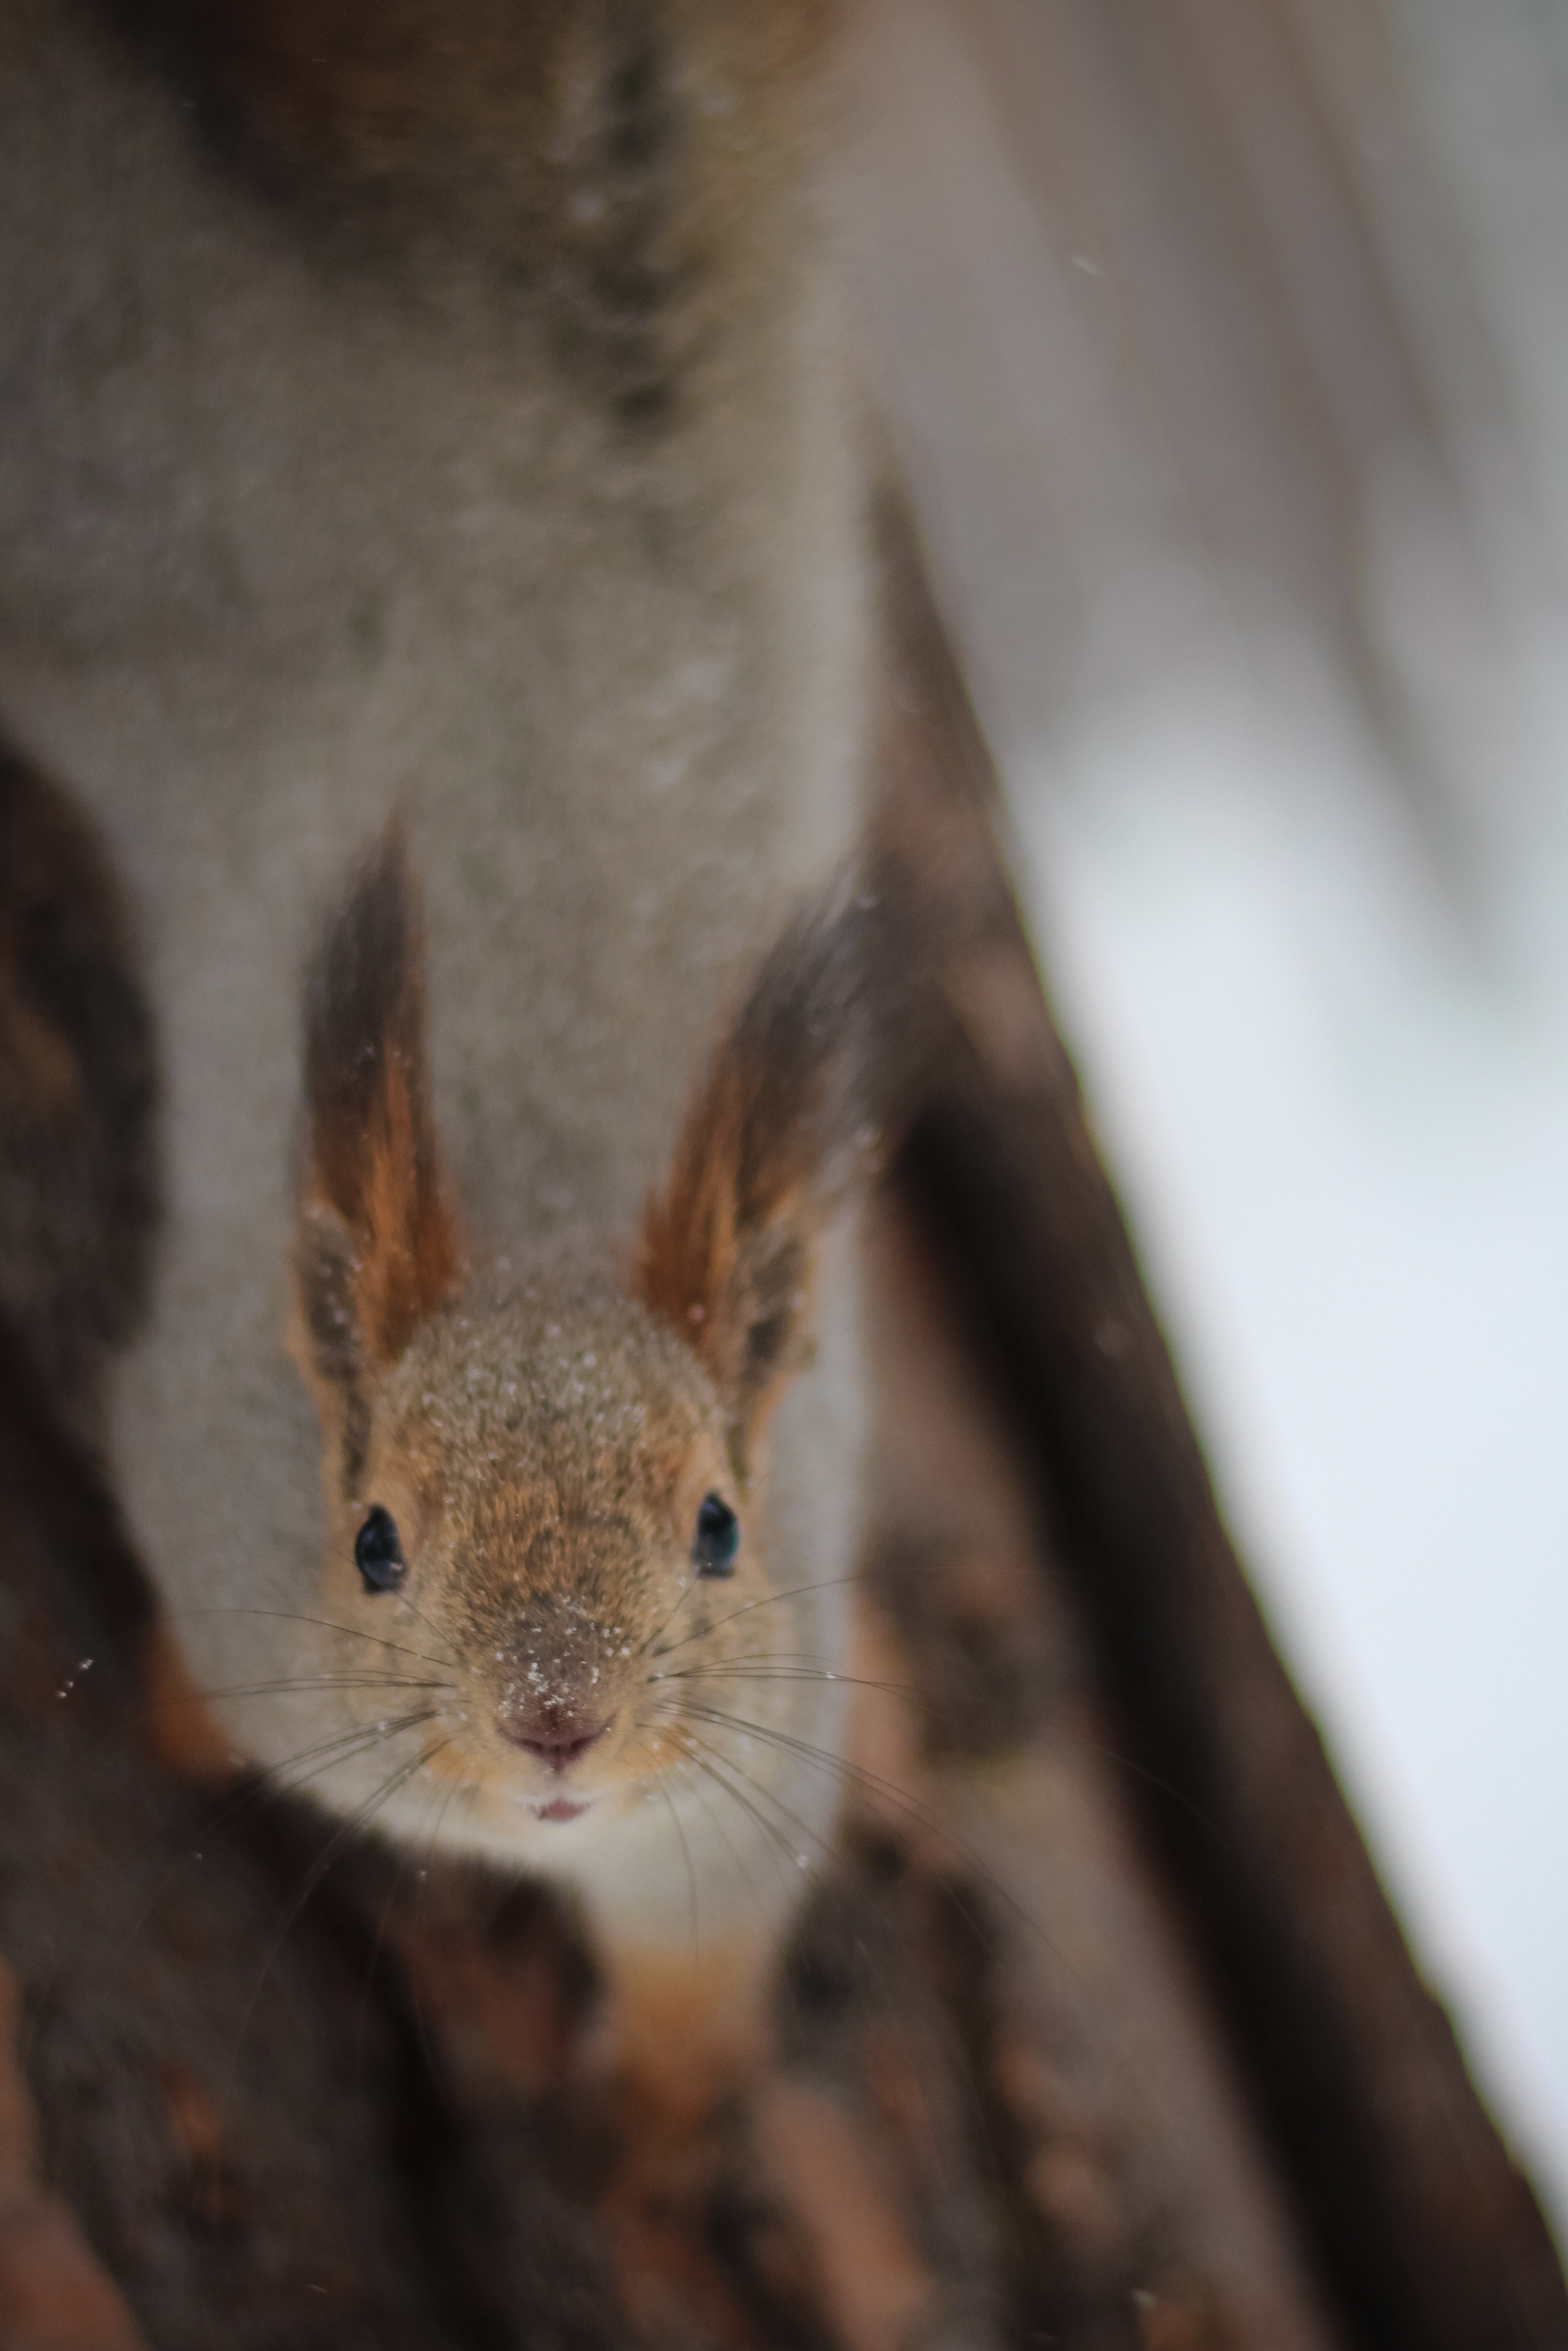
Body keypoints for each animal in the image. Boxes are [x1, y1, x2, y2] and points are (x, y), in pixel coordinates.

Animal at [0, 0, 883, 2096]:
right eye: (377, 1539)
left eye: (718, 1524)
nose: (556, 1717)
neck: (549, 1208)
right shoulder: (223, 1517)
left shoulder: (755, 1789)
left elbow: (698, 1984)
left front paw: (658, 2114)